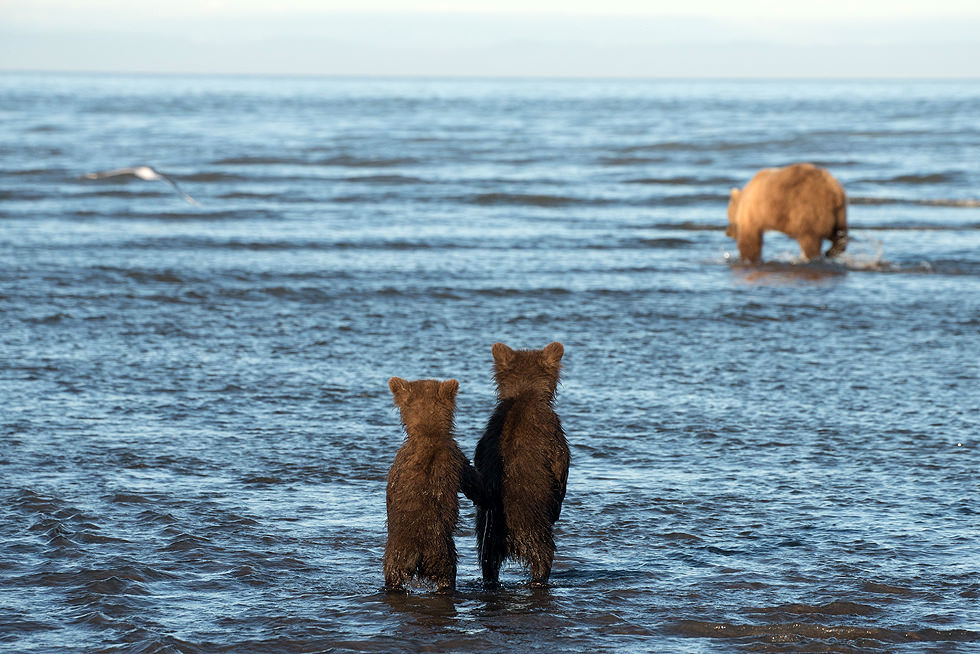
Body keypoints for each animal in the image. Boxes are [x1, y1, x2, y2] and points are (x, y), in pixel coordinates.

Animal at [474, 341, 569, 588]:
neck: (524, 393)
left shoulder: (486, 435)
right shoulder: (551, 430)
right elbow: (561, 465)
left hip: (487, 535)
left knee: (488, 563)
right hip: (533, 525)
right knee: (543, 554)